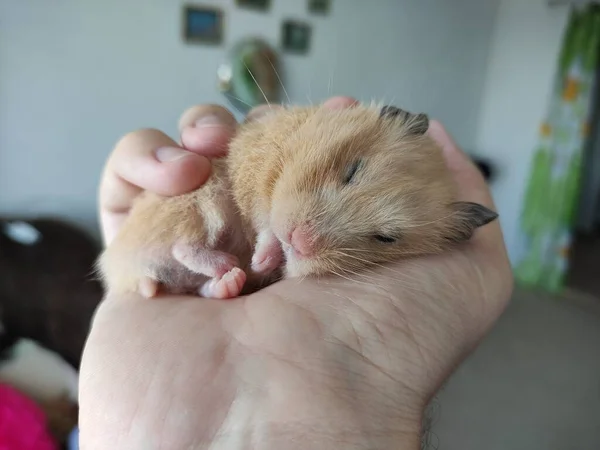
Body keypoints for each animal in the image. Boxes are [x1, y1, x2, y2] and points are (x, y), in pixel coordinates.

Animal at [97, 102, 496, 298]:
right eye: (352, 170)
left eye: (386, 238)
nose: (299, 241)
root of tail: (119, 268)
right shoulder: (257, 169)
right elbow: (265, 219)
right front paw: (263, 256)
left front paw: (265, 262)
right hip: (200, 201)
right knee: (181, 246)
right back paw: (229, 263)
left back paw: (230, 279)